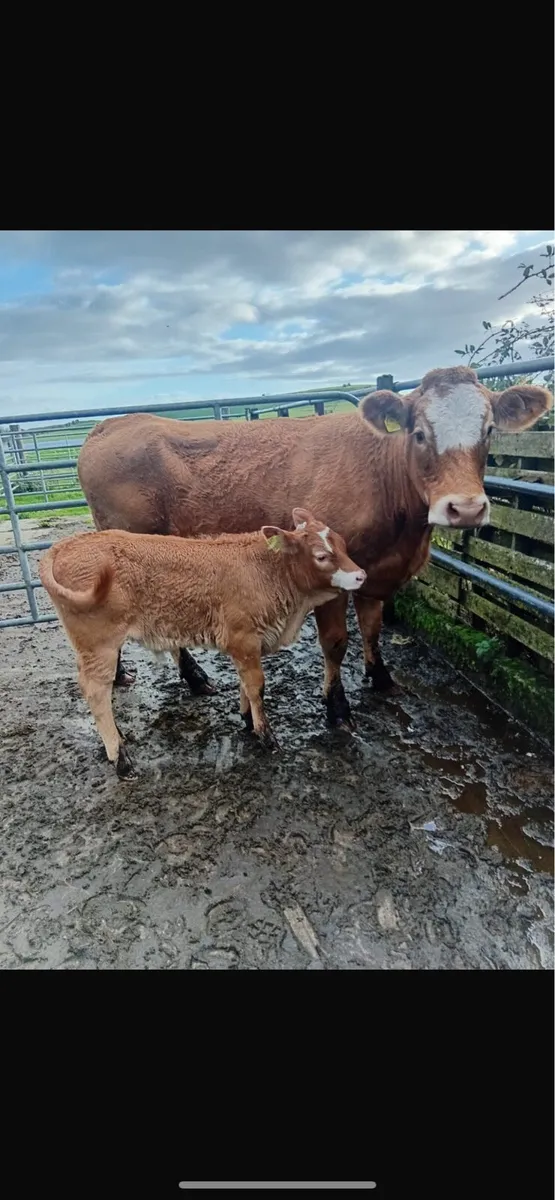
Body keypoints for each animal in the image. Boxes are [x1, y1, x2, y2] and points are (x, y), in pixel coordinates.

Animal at [39, 509, 366, 777]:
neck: (267, 571)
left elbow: (245, 684)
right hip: (100, 645)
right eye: (321, 556)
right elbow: (256, 686)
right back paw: (120, 757)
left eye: (342, 544)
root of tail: (68, 543)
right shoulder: (243, 638)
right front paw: (266, 735)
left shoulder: (245, 646)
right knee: (96, 691)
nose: (361, 575)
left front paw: (248, 721)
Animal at [77, 366, 552, 728]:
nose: (466, 508)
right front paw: (337, 707)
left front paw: (380, 678)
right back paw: (182, 678)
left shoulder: (376, 574)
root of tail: (112, 424)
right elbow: (336, 643)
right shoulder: (329, 578)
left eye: (489, 430)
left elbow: (373, 629)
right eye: (418, 433)